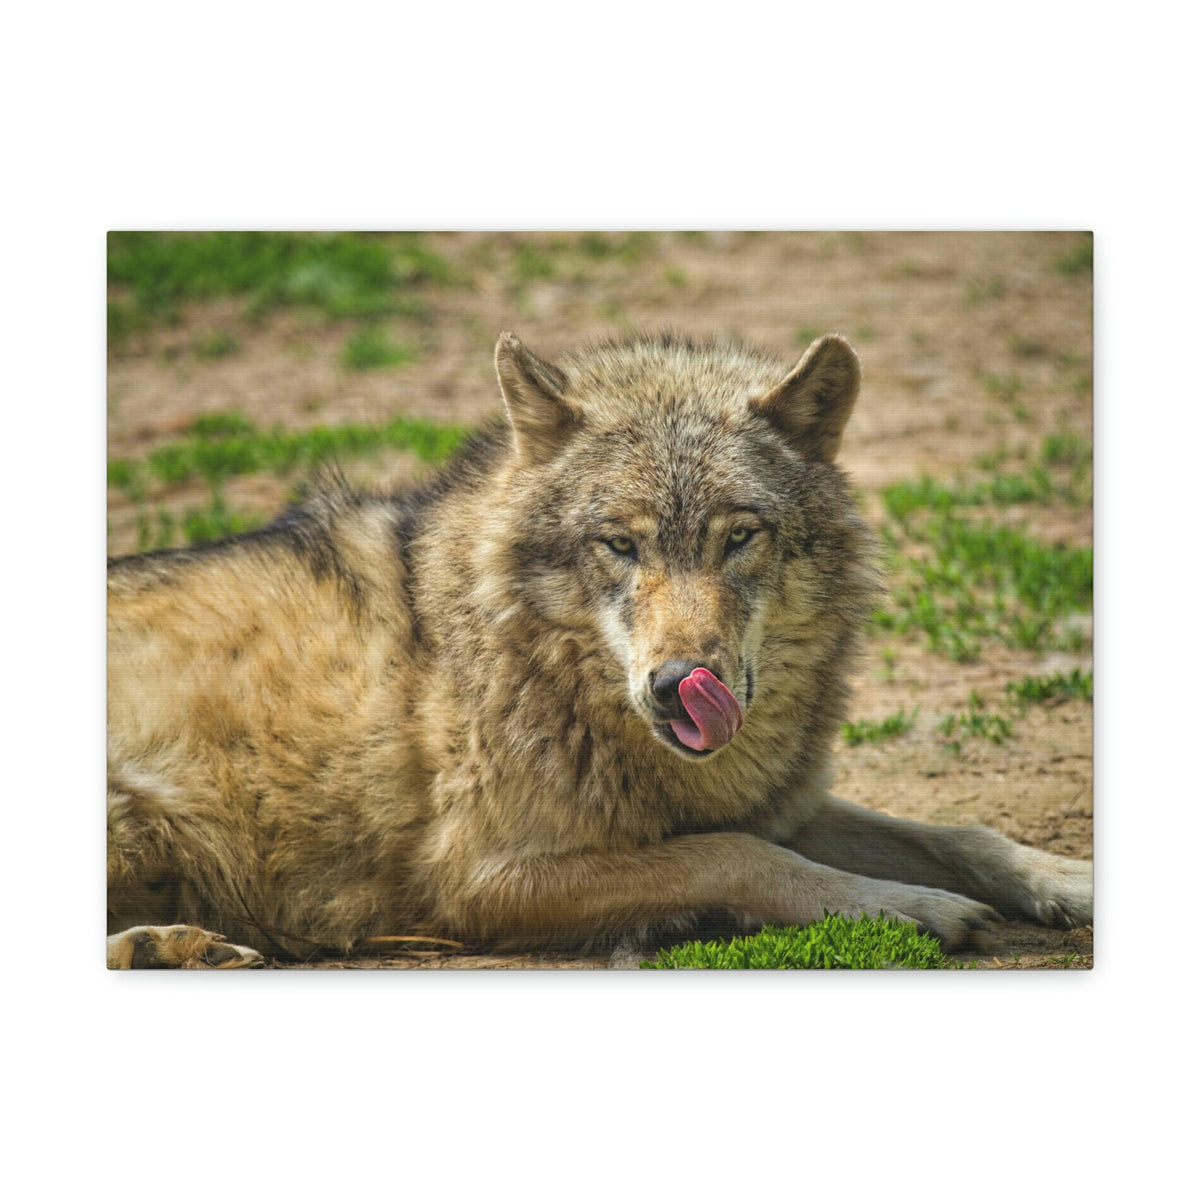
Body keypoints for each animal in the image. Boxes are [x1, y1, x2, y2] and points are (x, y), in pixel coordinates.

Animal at [107, 330, 1093, 967]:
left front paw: (1068, 881)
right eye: (620, 544)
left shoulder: (779, 802)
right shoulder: (481, 880)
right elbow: (738, 857)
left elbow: (960, 832)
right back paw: (163, 947)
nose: (677, 685)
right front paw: (910, 911)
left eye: (740, 538)